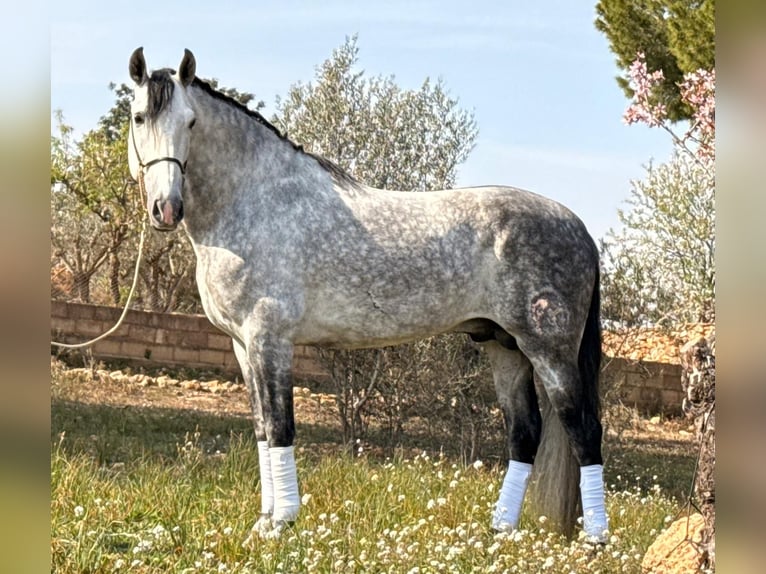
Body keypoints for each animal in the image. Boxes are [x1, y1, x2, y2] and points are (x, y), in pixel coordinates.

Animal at [126, 49, 608, 544]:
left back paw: (595, 538)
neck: (254, 201)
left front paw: (282, 523)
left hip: (549, 351)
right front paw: (262, 523)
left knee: (585, 430)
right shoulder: (243, 345)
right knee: (524, 433)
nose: (166, 209)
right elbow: (261, 427)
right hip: (503, 346)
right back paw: (499, 531)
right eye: (139, 116)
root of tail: (580, 229)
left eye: (190, 121)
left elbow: (280, 427)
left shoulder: (269, 339)